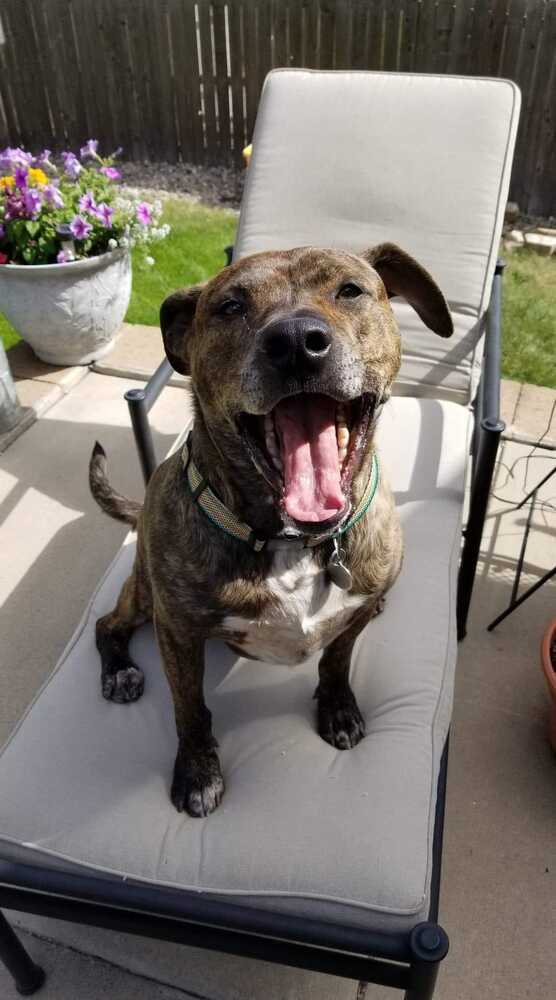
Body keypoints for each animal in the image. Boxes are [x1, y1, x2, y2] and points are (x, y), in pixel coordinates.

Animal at [88, 244, 452, 820]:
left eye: (350, 290)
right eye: (230, 307)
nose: (297, 342)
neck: (292, 540)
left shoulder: (351, 618)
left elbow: (337, 661)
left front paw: (338, 708)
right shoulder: (178, 632)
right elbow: (189, 707)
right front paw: (198, 771)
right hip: (145, 593)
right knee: (107, 624)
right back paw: (119, 670)